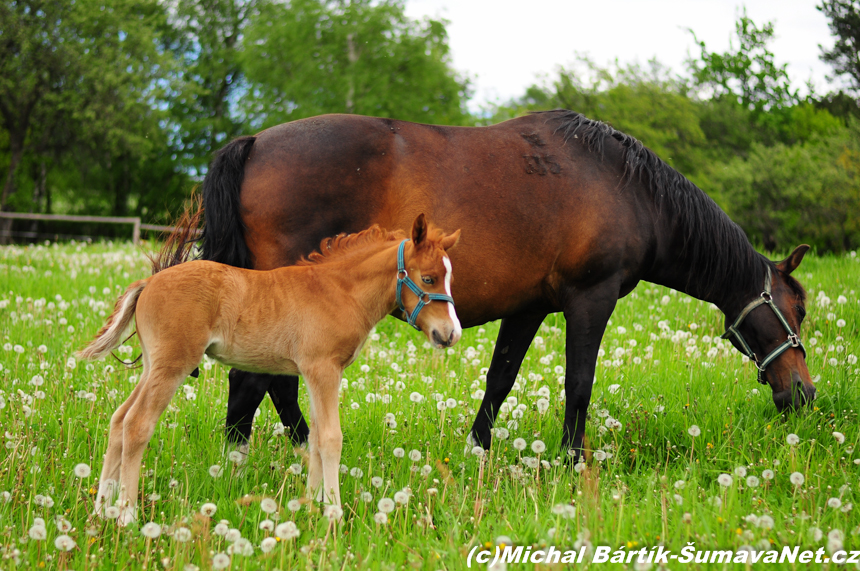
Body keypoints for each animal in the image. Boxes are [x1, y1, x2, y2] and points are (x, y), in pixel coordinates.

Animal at [77, 216, 460, 528]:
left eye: (449, 277)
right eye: (428, 278)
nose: (451, 333)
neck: (338, 290)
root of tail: (148, 282)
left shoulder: (312, 373)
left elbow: (315, 437)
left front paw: (311, 505)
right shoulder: (324, 369)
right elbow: (330, 438)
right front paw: (334, 512)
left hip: (153, 366)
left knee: (118, 420)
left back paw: (101, 510)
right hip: (172, 366)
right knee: (137, 424)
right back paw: (126, 515)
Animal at [200, 109, 812, 462]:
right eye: (799, 310)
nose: (803, 394)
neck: (624, 187)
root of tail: (255, 141)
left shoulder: (528, 308)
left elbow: (501, 379)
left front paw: (479, 450)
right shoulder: (591, 300)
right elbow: (579, 383)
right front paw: (571, 460)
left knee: (268, 386)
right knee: (255, 383)